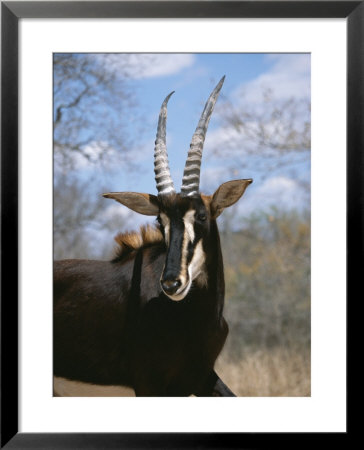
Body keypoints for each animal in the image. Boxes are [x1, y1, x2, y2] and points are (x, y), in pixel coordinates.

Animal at [54, 78, 252, 398]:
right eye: (161, 221)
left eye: (201, 216)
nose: (172, 284)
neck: (197, 320)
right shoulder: (150, 385)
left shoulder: (200, 378)